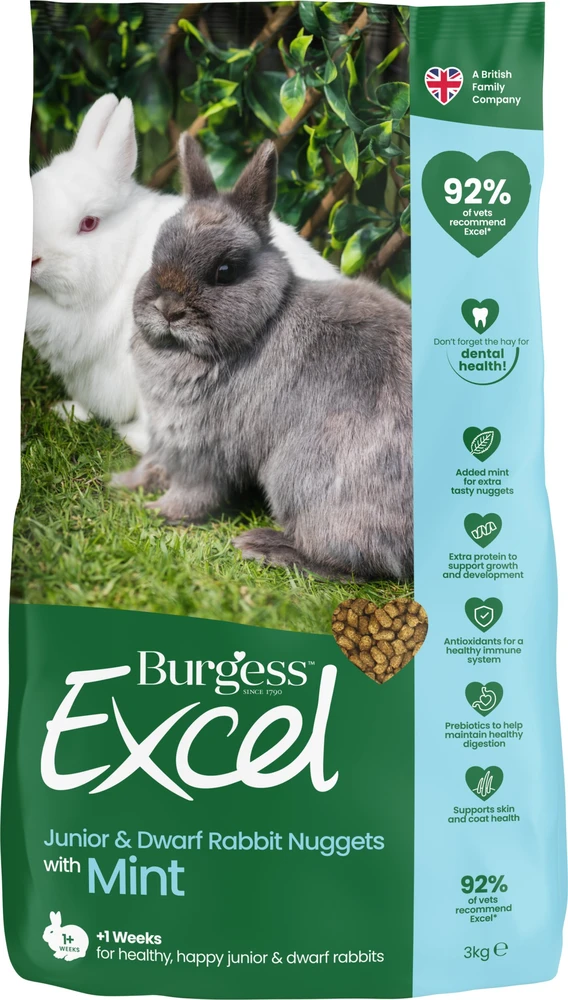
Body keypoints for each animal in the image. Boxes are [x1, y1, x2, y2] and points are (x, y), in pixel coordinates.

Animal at [117, 136, 412, 581]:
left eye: (224, 271)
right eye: (155, 256)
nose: (168, 309)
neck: (262, 323)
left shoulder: (201, 447)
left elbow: (193, 492)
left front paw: (160, 511)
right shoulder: (165, 435)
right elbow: (152, 463)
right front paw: (125, 482)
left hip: (301, 479)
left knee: (356, 562)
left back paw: (264, 546)